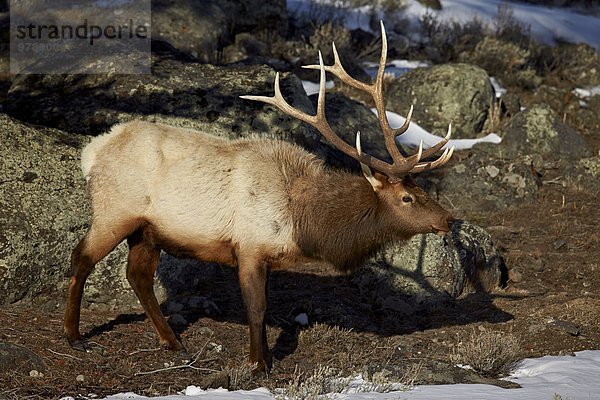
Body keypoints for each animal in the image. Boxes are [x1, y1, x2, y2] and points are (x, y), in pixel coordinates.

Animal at [64, 21, 454, 372]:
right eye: (406, 197)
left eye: (421, 190)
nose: (448, 220)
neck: (303, 221)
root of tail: (92, 152)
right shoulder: (249, 246)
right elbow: (257, 308)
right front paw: (258, 363)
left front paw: (263, 358)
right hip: (114, 211)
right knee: (82, 257)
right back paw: (74, 335)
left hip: (147, 230)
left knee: (138, 276)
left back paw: (172, 341)